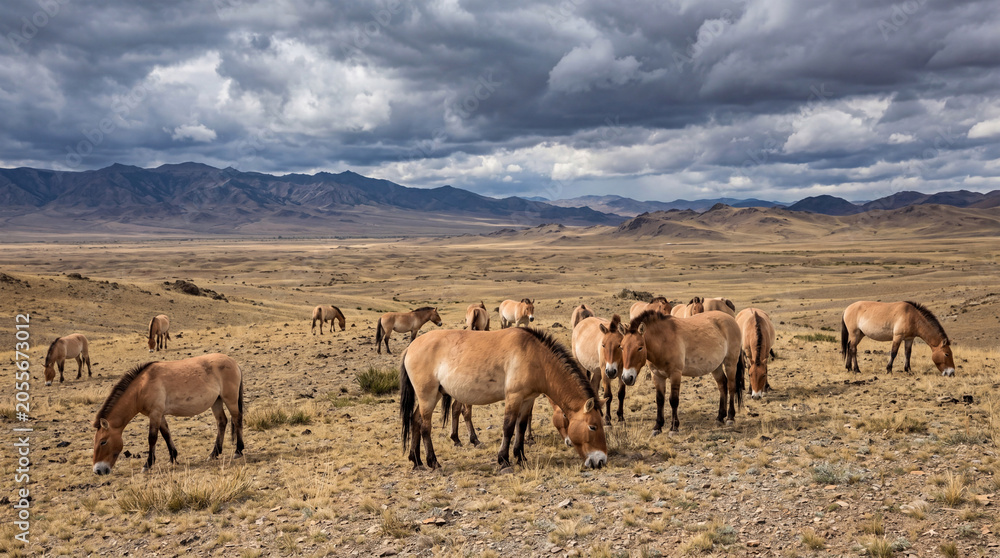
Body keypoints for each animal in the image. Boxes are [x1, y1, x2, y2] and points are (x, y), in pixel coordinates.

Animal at [92, 353, 244, 475]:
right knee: (222, 422)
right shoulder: (160, 414)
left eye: (103, 442)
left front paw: (147, 464)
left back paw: (238, 450)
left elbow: (152, 438)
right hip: (216, 401)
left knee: (237, 419)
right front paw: (173, 457)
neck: (141, 387)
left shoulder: (155, 413)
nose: (98, 470)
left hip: (230, 399)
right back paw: (214, 454)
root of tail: (233, 361)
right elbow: (166, 434)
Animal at [400, 327, 607, 470]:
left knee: (415, 421)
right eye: (592, 427)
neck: (535, 356)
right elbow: (508, 427)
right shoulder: (513, 397)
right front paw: (504, 459)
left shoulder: (527, 399)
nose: (601, 460)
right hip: (427, 396)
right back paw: (432, 461)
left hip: (432, 396)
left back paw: (416, 461)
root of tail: (410, 347)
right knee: (425, 427)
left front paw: (520, 456)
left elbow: (520, 427)